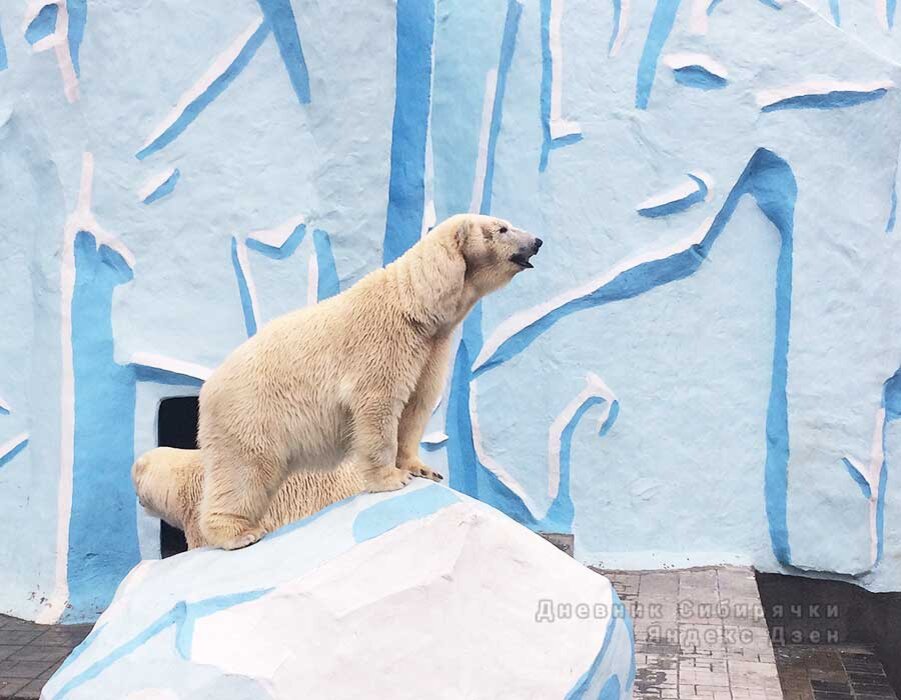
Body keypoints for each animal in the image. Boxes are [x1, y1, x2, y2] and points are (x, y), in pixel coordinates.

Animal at [199, 211, 540, 548]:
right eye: (502, 228)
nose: (537, 241)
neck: (416, 304)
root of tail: (208, 388)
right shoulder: (383, 343)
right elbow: (379, 406)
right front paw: (391, 478)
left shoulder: (431, 349)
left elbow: (415, 407)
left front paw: (422, 469)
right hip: (251, 412)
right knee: (244, 470)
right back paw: (238, 533)